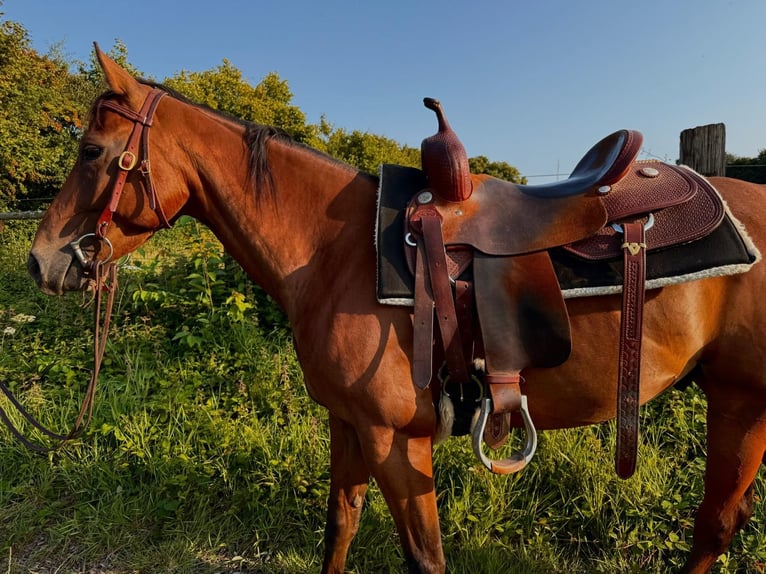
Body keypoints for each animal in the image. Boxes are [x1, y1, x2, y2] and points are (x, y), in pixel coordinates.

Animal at [27, 45, 766, 574]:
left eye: (91, 151)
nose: (41, 261)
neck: (332, 251)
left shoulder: (394, 439)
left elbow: (424, 558)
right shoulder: (348, 424)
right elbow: (340, 527)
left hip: (742, 400)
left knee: (716, 523)